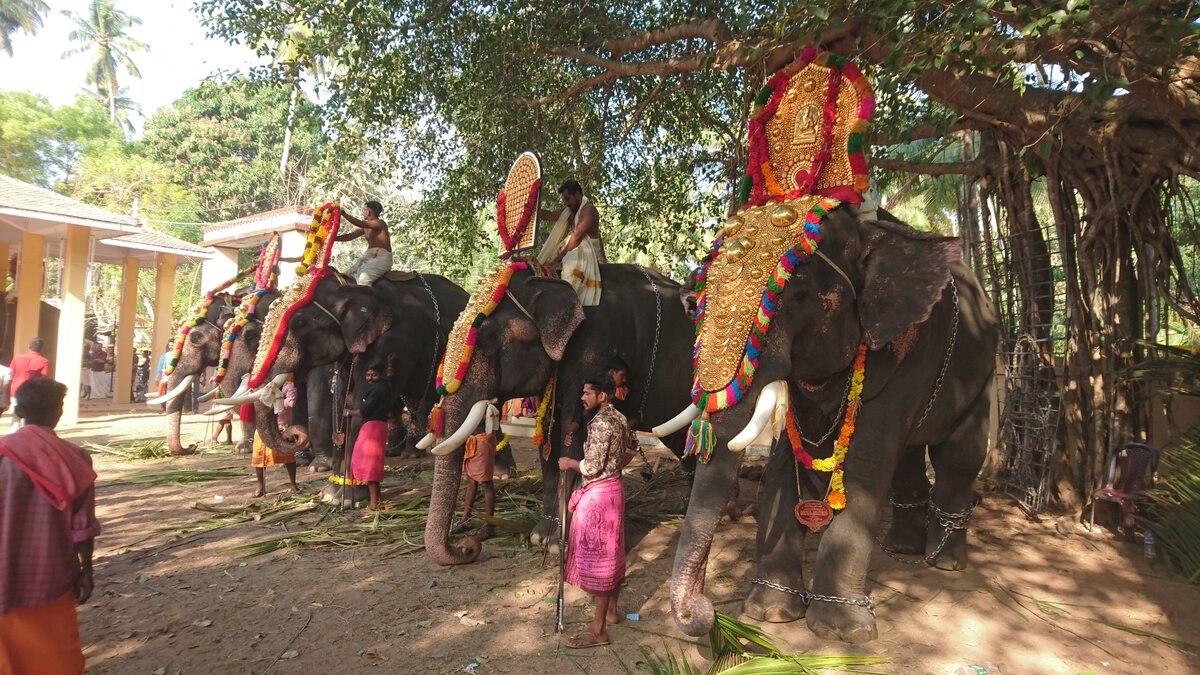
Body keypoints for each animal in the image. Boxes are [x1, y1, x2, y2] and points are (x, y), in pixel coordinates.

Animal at [422, 260, 696, 564]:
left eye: (488, 337)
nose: (468, 546)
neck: (550, 277)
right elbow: (549, 437)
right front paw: (540, 537)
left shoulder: (594, 349)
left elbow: (574, 431)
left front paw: (557, 544)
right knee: (682, 441)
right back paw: (689, 508)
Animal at [652, 51, 998, 638]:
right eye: (698, 293)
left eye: (797, 296)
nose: (702, 613)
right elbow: (785, 460)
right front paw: (769, 614)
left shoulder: (905, 349)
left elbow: (863, 465)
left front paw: (839, 632)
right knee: (909, 458)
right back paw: (902, 550)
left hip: (986, 366)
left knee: (957, 455)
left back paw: (944, 563)